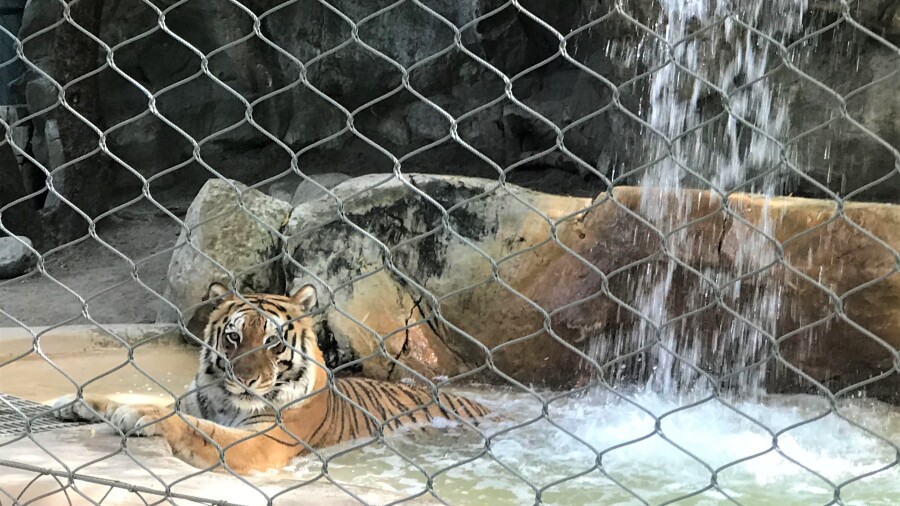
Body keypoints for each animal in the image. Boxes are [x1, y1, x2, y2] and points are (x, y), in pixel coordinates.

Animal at [51, 282, 489, 474]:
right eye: (233, 337)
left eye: (273, 342)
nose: (246, 379)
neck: (226, 401)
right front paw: (73, 401)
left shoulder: (261, 442)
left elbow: (197, 428)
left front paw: (139, 415)